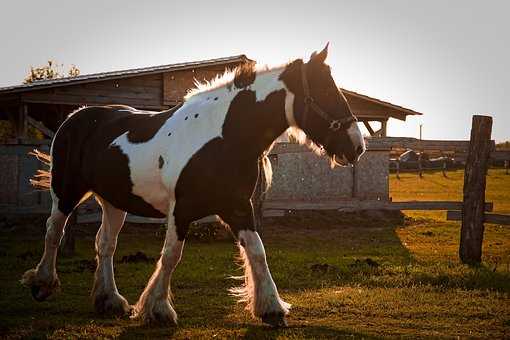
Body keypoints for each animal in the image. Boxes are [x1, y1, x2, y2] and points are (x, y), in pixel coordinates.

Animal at [18, 43, 362, 326]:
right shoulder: (180, 210)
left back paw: (110, 301)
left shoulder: (237, 207)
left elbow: (257, 252)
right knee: (53, 231)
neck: (223, 137)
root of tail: (74, 118)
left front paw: (271, 308)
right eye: (326, 92)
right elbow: (171, 255)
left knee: (105, 244)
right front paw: (157, 309)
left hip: (114, 202)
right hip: (65, 192)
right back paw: (42, 284)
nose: (357, 146)